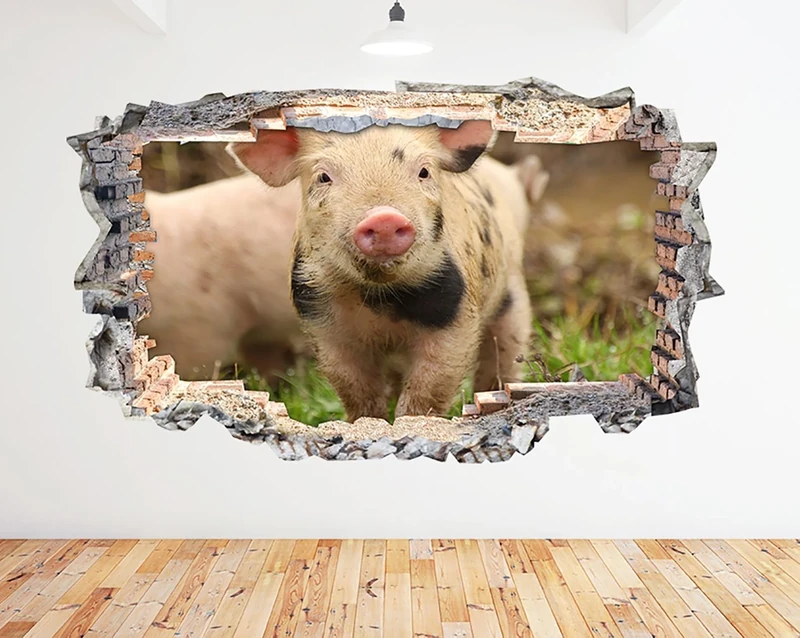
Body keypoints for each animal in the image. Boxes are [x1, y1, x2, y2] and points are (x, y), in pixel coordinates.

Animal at [229, 121, 547, 421]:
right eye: (323, 177)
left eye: (423, 172)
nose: (384, 217)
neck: (380, 300)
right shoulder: (323, 323)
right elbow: (356, 389)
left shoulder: (456, 314)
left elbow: (429, 386)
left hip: (512, 296)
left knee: (503, 357)